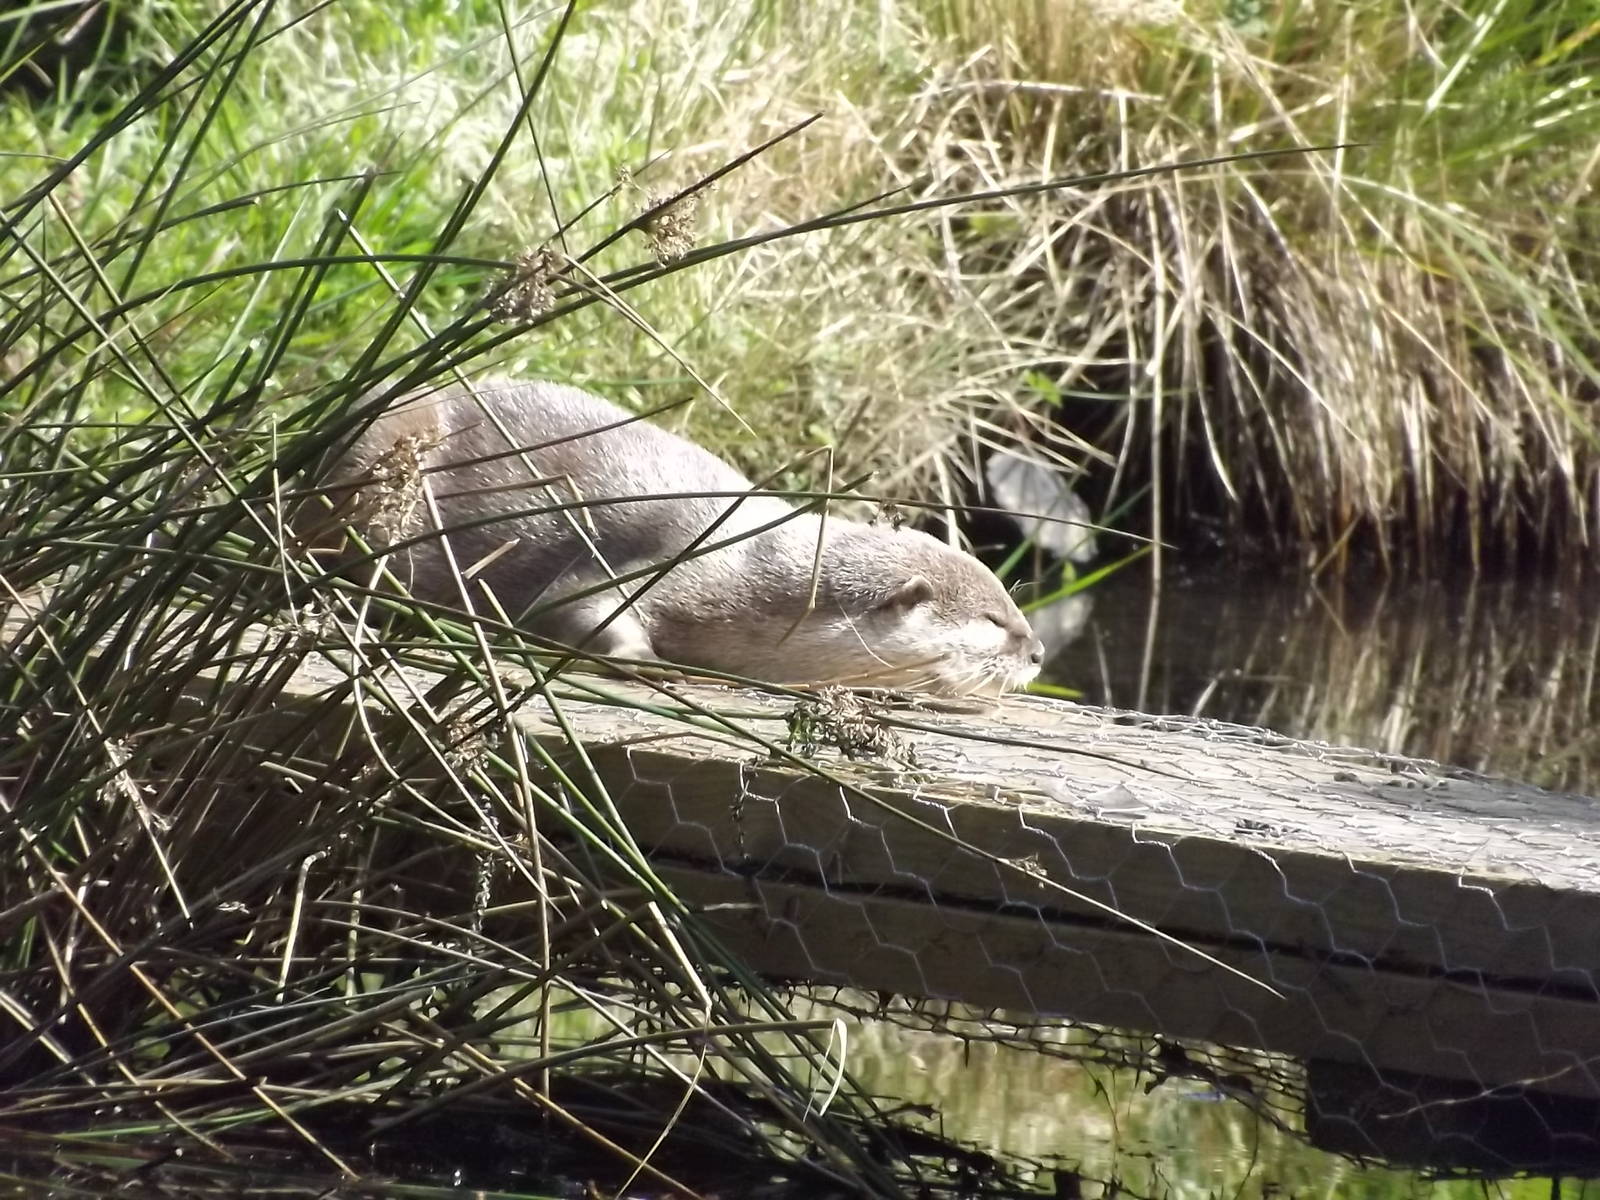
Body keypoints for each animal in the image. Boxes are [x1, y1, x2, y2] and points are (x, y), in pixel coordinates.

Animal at [314, 380, 1043, 696]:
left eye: (1015, 607)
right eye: (994, 620)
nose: (1036, 653)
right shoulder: (674, 560)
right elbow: (578, 604)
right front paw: (649, 659)